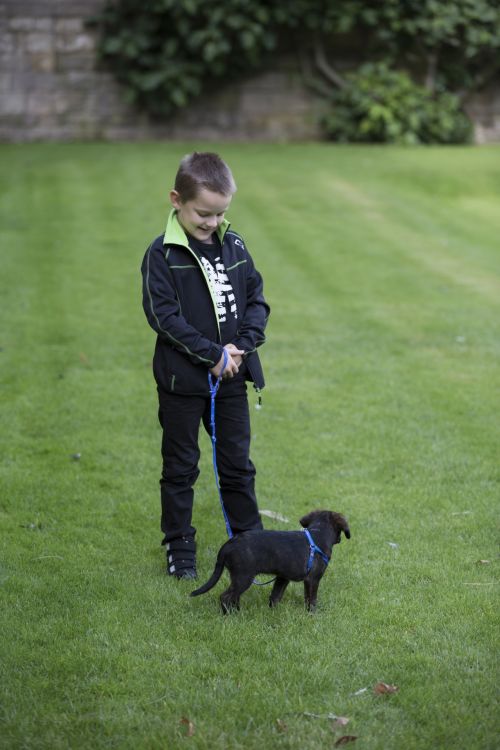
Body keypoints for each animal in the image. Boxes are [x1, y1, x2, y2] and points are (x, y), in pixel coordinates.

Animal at [189, 512, 350, 616]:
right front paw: (312, 615)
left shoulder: (282, 577)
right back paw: (229, 615)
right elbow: (311, 599)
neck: (317, 533)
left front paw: (273, 612)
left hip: (238, 578)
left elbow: (275, 596)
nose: (341, 539)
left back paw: (237, 612)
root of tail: (228, 544)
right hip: (243, 576)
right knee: (226, 596)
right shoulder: (313, 579)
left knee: (234, 596)